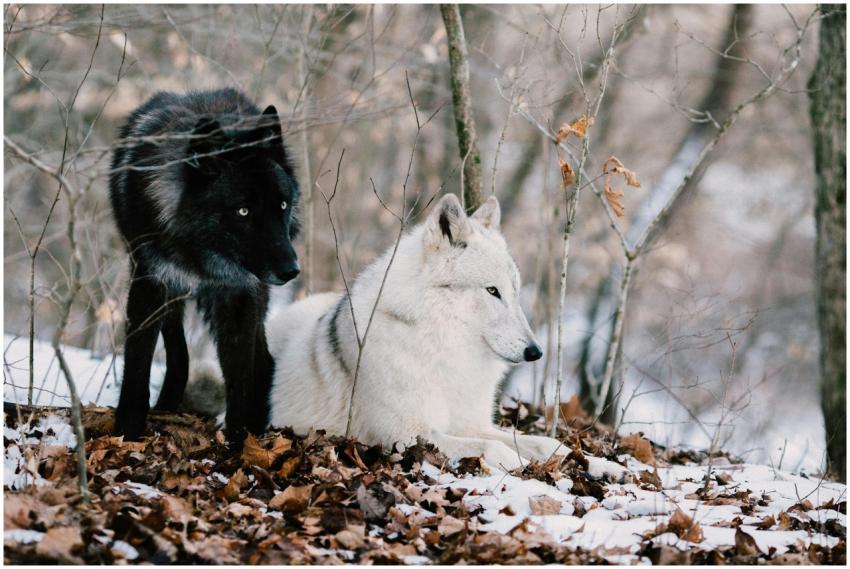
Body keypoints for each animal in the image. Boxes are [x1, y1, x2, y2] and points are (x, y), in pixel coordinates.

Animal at [109, 88, 300, 445]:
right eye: (243, 211)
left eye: (282, 204)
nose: (291, 270)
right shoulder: (150, 283)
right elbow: (138, 363)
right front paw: (127, 431)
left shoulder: (239, 295)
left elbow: (239, 376)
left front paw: (240, 443)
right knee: (178, 351)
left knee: (263, 361)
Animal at [264, 194, 567, 470]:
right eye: (492, 291)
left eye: (515, 292)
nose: (535, 352)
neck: (443, 348)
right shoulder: (406, 435)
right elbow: (493, 447)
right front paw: (522, 466)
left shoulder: (472, 424)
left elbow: (540, 442)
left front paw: (573, 457)